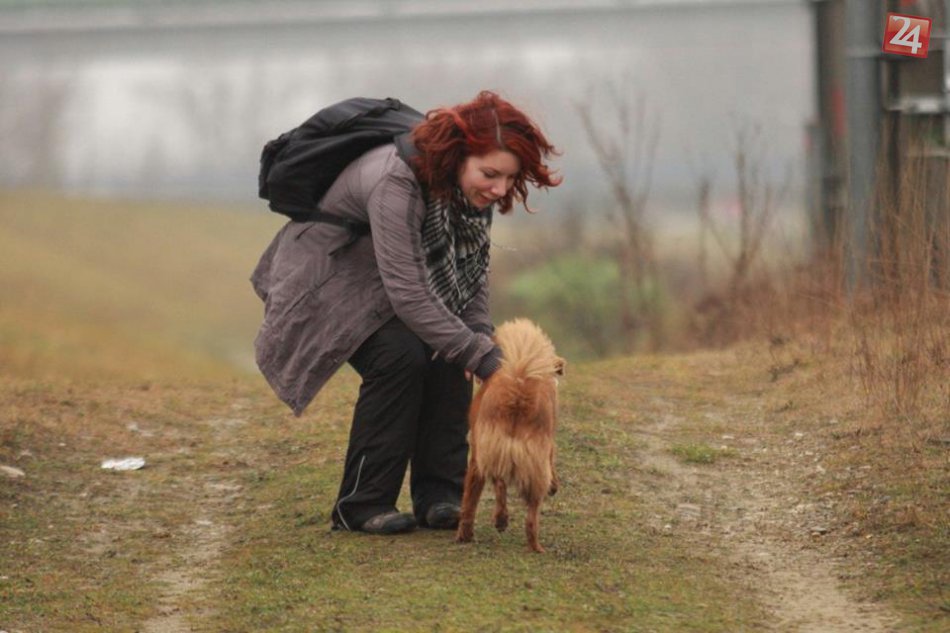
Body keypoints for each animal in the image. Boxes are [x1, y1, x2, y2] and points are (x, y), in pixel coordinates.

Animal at [456, 319, 564, 553]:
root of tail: (519, 386)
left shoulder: (485, 456)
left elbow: (492, 489)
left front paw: (499, 520)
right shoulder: (548, 449)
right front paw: (554, 486)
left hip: (483, 458)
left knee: (472, 502)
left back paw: (467, 534)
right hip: (534, 467)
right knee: (531, 518)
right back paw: (536, 548)